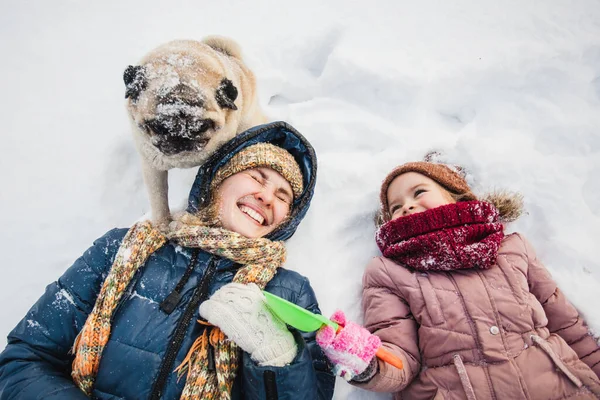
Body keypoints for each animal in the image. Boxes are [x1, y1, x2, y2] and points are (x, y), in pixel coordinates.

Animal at [124, 36, 268, 230]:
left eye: (201, 127)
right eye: (158, 127)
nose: (181, 137)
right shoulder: (152, 167)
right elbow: (159, 199)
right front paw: (162, 225)